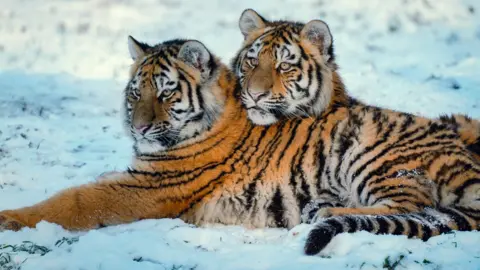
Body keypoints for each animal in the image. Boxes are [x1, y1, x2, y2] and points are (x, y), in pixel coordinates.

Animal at [232, 7, 480, 253]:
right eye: (252, 61)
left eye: (284, 66)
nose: (254, 94)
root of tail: (465, 164)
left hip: (374, 160)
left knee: (411, 208)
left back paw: (325, 211)